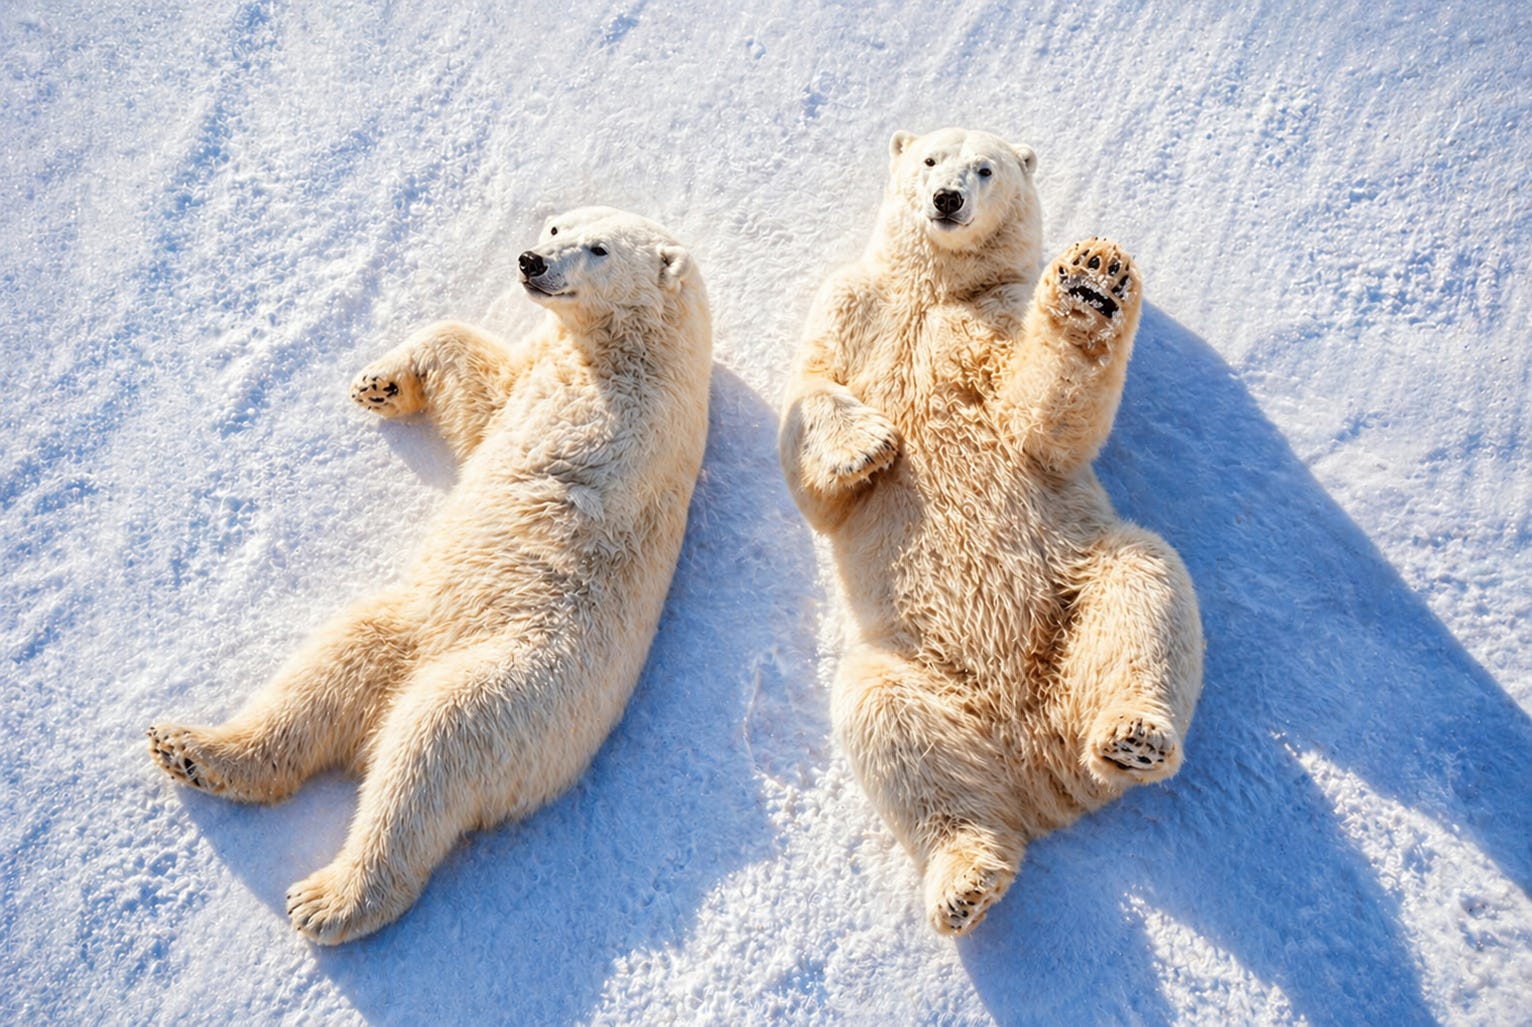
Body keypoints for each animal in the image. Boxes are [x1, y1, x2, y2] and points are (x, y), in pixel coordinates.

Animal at [148, 206, 712, 945]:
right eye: (555, 225)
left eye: (598, 249)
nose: (531, 260)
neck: (646, 344)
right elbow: (482, 391)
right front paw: (379, 384)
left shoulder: (640, 417)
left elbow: (555, 449)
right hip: (409, 624)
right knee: (329, 669)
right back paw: (193, 748)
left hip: (517, 692)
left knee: (427, 754)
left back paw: (328, 899)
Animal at [779, 127, 1203, 935]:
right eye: (929, 161)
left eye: (986, 169)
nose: (948, 199)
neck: (935, 292)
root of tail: (1046, 776)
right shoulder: (853, 304)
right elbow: (810, 404)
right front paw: (870, 444)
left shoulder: (995, 315)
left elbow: (1039, 422)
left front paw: (1092, 283)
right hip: (915, 664)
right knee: (888, 725)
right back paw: (965, 880)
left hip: (1076, 591)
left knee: (1141, 582)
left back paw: (1133, 736)